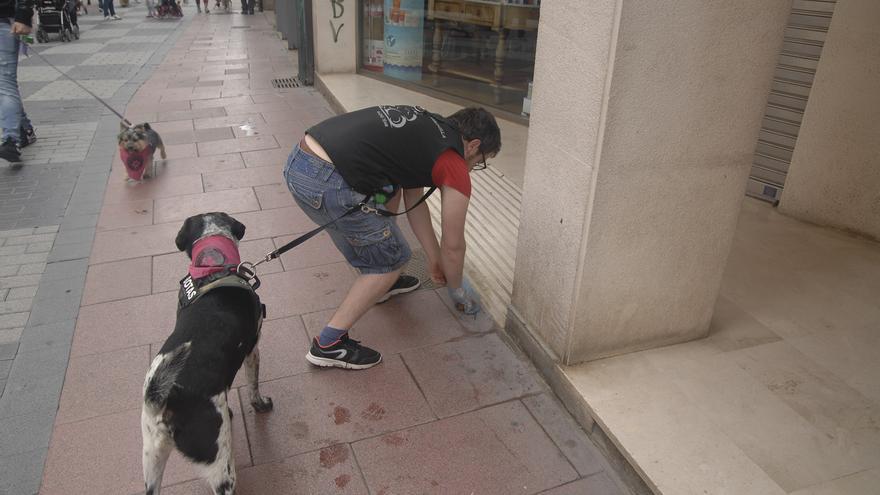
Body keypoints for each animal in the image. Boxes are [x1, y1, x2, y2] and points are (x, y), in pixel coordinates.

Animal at [142, 212, 272, 495]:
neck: (212, 268)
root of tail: (166, 401)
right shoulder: (253, 349)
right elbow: (253, 386)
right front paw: (260, 404)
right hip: (221, 468)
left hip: (152, 459)